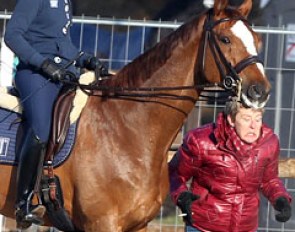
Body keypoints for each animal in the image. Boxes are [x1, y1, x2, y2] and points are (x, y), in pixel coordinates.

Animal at [0, 0, 272, 231]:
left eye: (257, 40)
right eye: (225, 39)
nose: (260, 91)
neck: (127, 127)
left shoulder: (138, 225)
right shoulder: (101, 223)